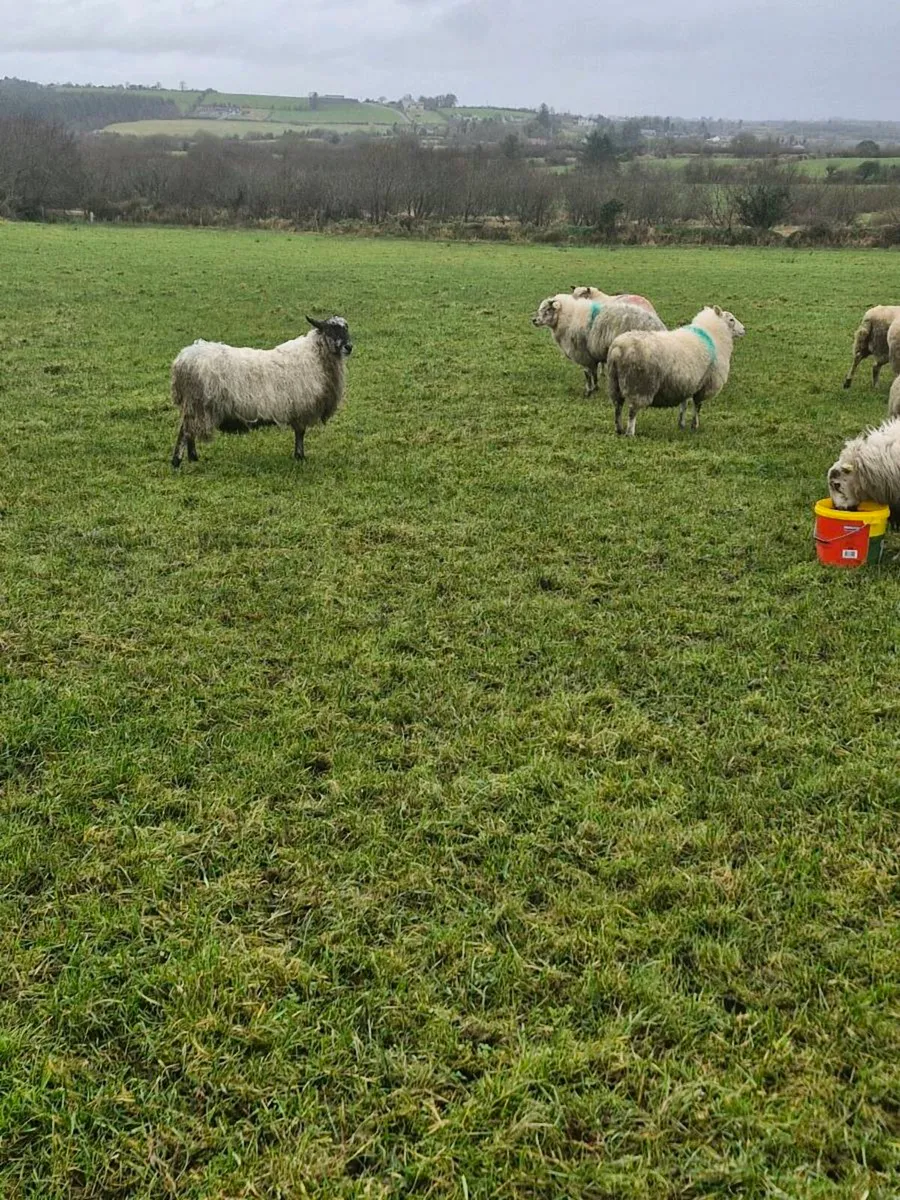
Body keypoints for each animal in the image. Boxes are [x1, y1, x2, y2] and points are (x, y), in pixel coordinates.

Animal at [170, 316, 352, 468]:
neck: (315, 356)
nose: (349, 347)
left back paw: (193, 458)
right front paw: (300, 456)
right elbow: (300, 433)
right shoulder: (301, 407)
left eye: (346, 328)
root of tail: (182, 359)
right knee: (185, 431)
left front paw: (299, 456)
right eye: (330, 329)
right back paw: (177, 461)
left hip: (195, 406)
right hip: (198, 403)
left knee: (190, 432)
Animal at [532, 293, 666, 397]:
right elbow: (594, 373)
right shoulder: (591, 356)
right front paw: (595, 388)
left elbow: (587, 374)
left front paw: (588, 391)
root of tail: (658, 326)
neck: (568, 317)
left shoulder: (583, 354)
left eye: (548, 310)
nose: (533, 320)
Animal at [606, 305, 745, 437]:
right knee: (632, 411)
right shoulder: (704, 385)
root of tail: (618, 349)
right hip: (640, 385)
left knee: (618, 407)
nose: (744, 329)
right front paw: (695, 426)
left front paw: (681, 425)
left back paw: (619, 429)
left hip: (615, 383)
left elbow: (683, 405)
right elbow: (697, 406)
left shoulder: (686, 383)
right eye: (731, 319)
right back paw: (630, 433)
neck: (713, 335)